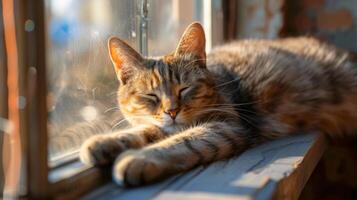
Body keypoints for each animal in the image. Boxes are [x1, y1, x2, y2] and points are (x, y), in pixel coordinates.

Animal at [78, 21, 356, 186]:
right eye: (151, 96)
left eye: (184, 88)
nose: (172, 111)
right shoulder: (164, 125)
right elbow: (145, 130)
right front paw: (105, 141)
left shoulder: (226, 126)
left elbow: (183, 141)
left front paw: (138, 159)